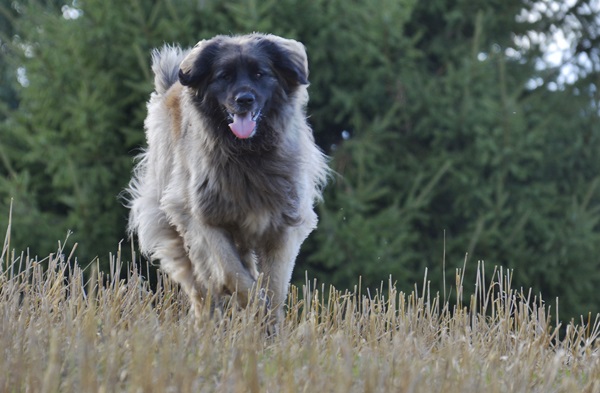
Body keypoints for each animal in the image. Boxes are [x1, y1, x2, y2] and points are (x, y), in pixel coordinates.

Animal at [127, 33, 330, 326]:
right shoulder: (201, 218)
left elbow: (274, 286)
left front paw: (268, 322)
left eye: (260, 74)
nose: (244, 99)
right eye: (224, 76)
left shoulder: (285, 224)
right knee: (200, 287)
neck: (247, 154)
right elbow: (230, 272)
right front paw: (254, 306)